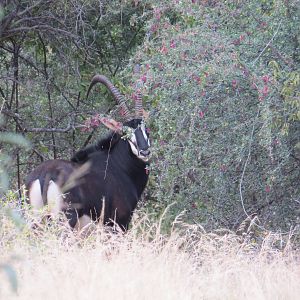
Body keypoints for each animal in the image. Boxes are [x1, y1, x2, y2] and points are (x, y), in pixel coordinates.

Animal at [25, 75, 150, 230]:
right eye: (125, 133)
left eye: (146, 129)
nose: (144, 152)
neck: (119, 166)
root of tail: (44, 176)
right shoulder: (119, 223)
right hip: (65, 220)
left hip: (35, 221)